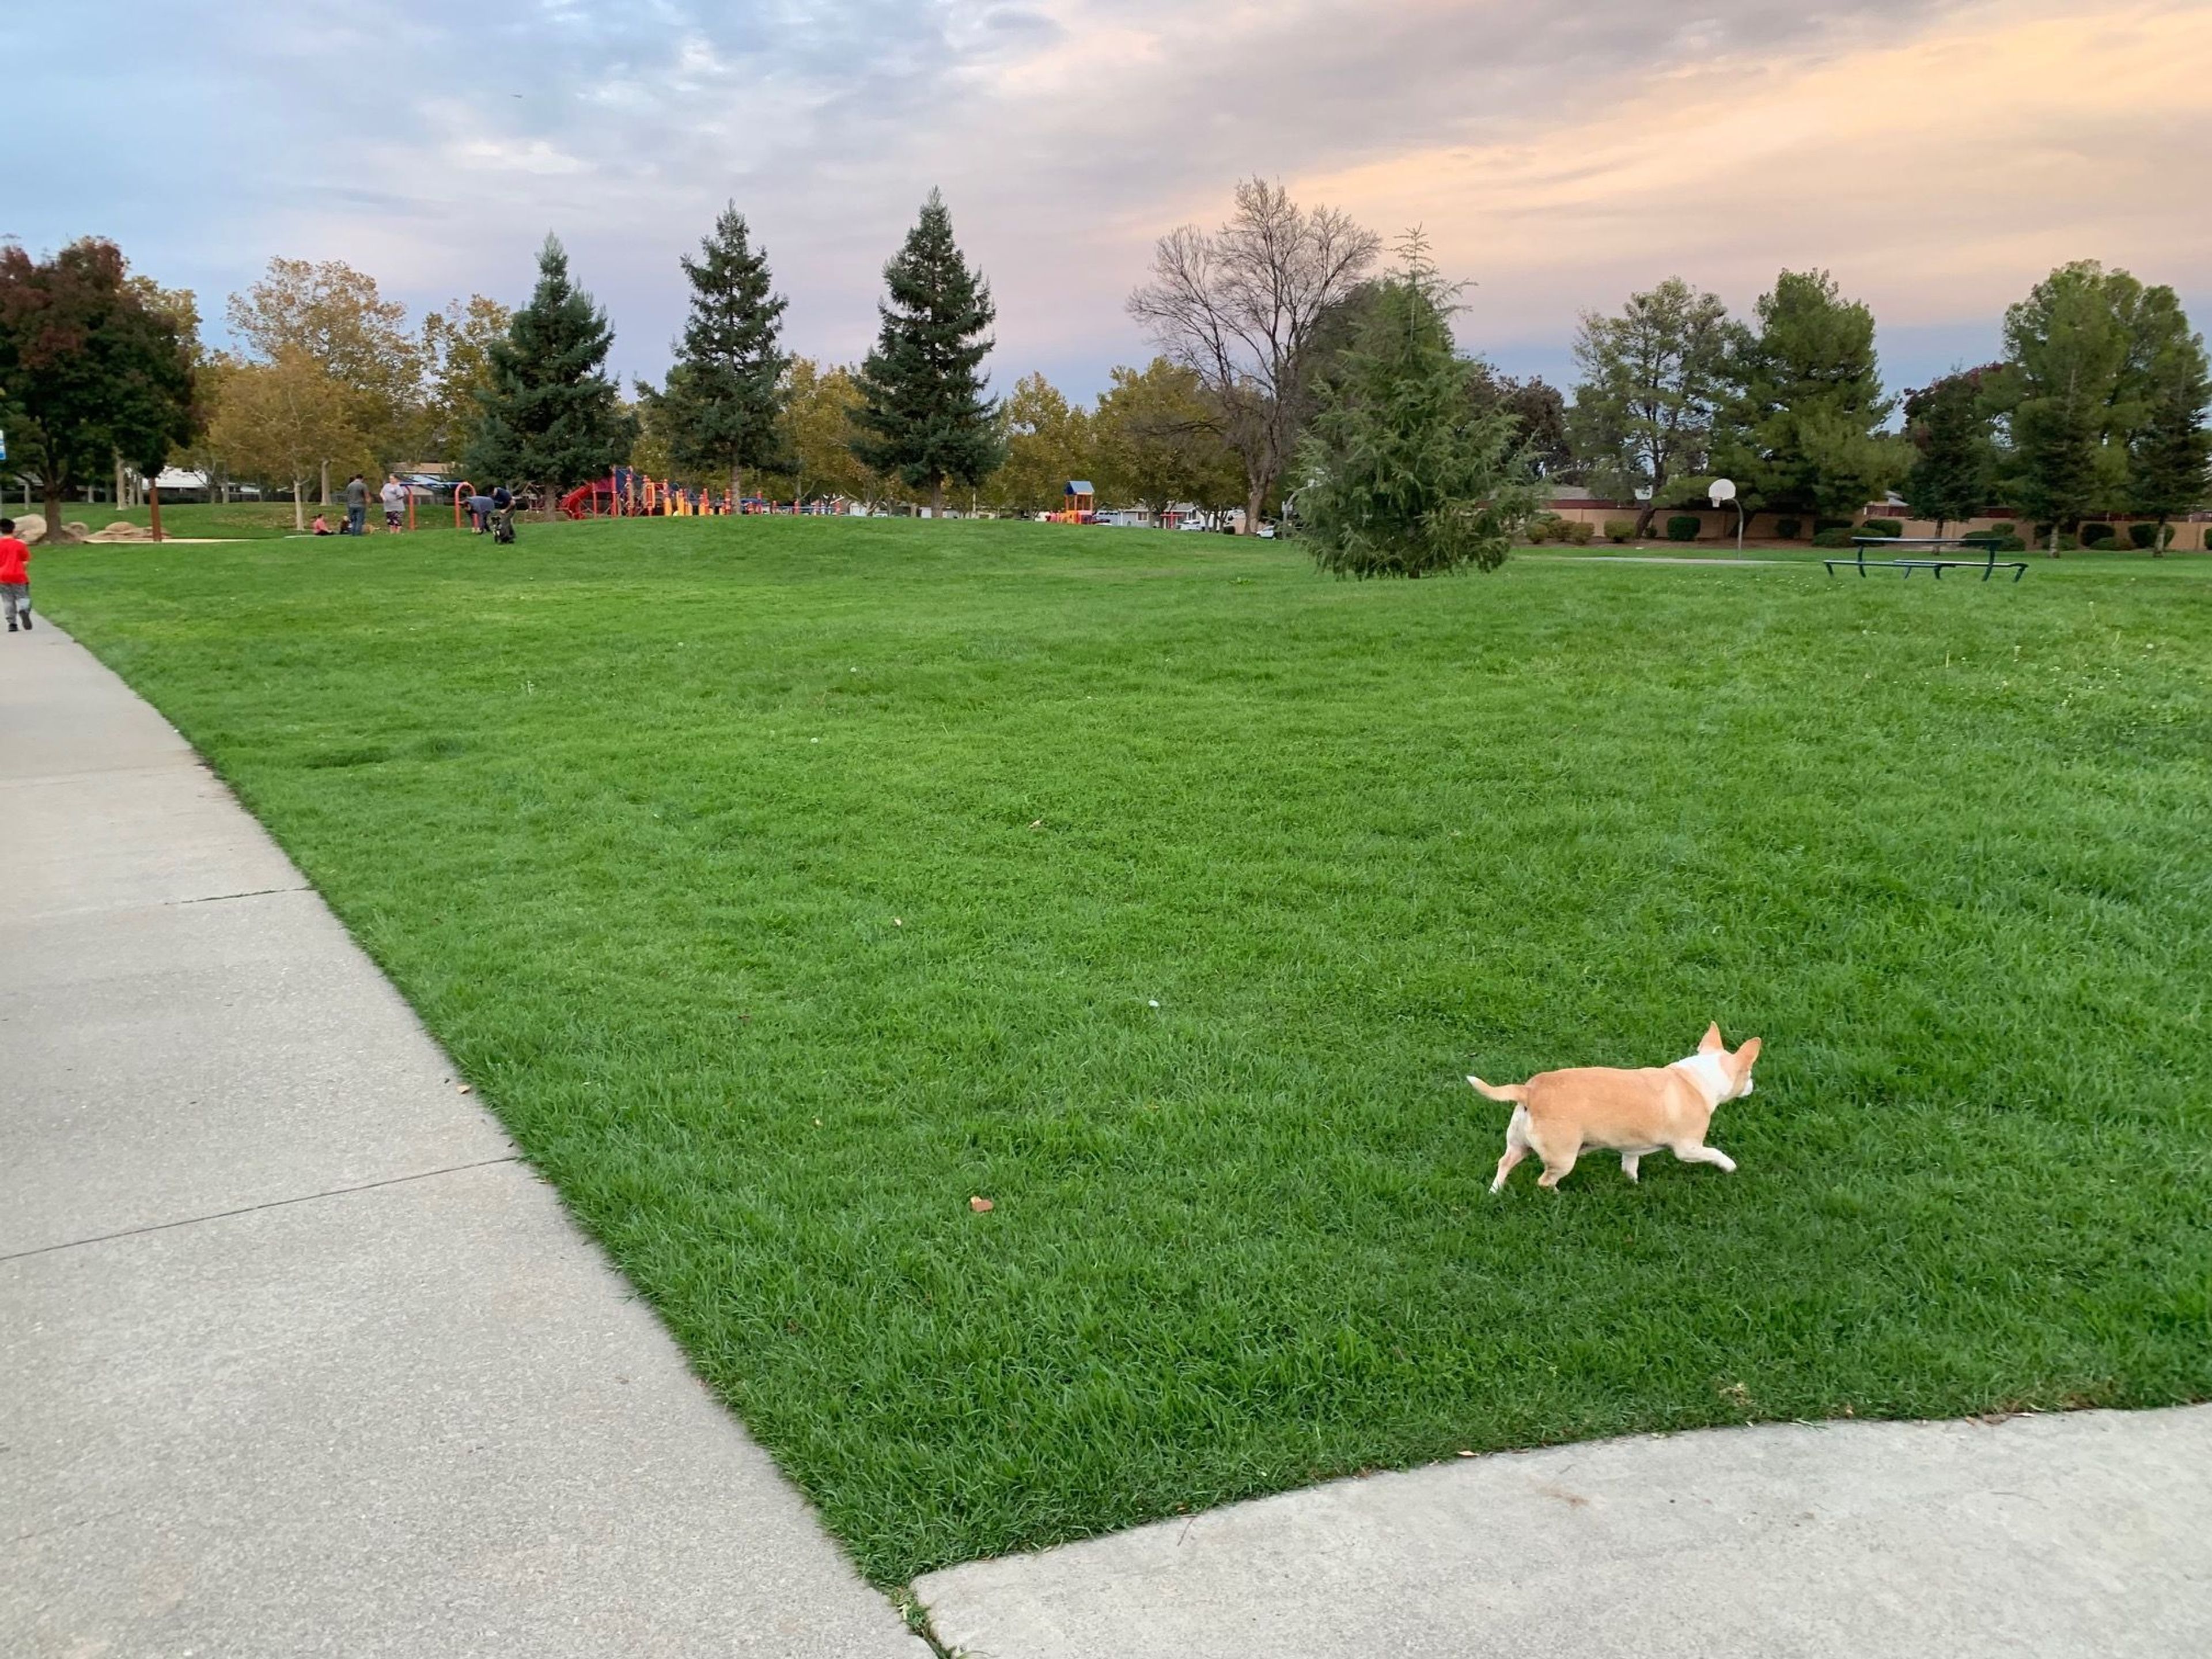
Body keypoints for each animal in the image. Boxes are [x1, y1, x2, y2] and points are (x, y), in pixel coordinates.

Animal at [1468, 1026, 1760, 1194]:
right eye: (1749, 1074)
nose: (1753, 1086)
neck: (1696, 1078)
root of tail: (1530, 1090)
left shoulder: (1632, 1149)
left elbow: (1630, 1166)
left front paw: (1632, 1185)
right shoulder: (1688, 1149)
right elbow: (1714, 1153)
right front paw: (1730, 1166)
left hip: (1518, 1144)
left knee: (1505, 1163)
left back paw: (1495, 1191)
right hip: (1563, 1158)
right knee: (1545, 1181)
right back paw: (1557, 1196)